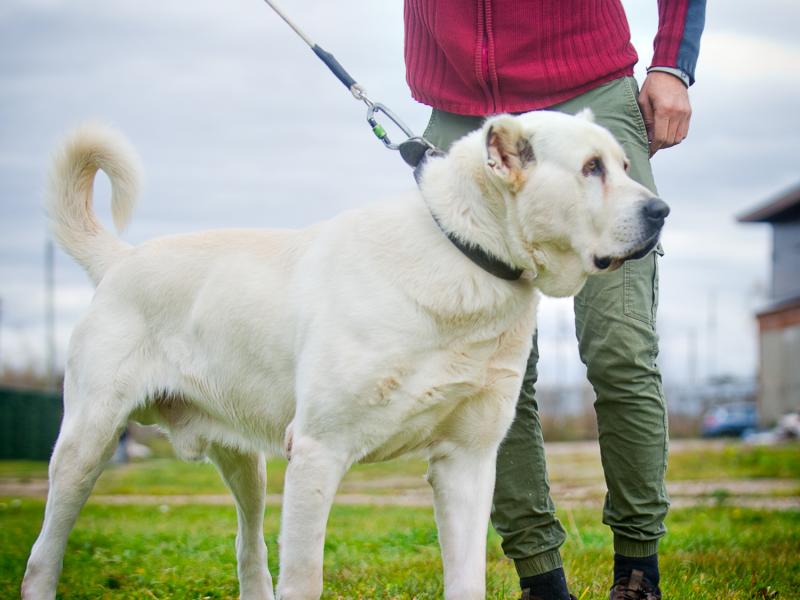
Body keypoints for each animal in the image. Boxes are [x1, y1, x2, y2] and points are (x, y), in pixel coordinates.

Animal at [20, 110, 668, 596]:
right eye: (590, 168)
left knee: (248, 547)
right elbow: (304, 577)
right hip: (85, 447)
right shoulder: (317, 452)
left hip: (247, 464)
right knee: (41, 555)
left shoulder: (467, 461)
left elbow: (466, 578)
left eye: (624, 165)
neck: (463, 253)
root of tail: (121, 260)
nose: (661, 212)